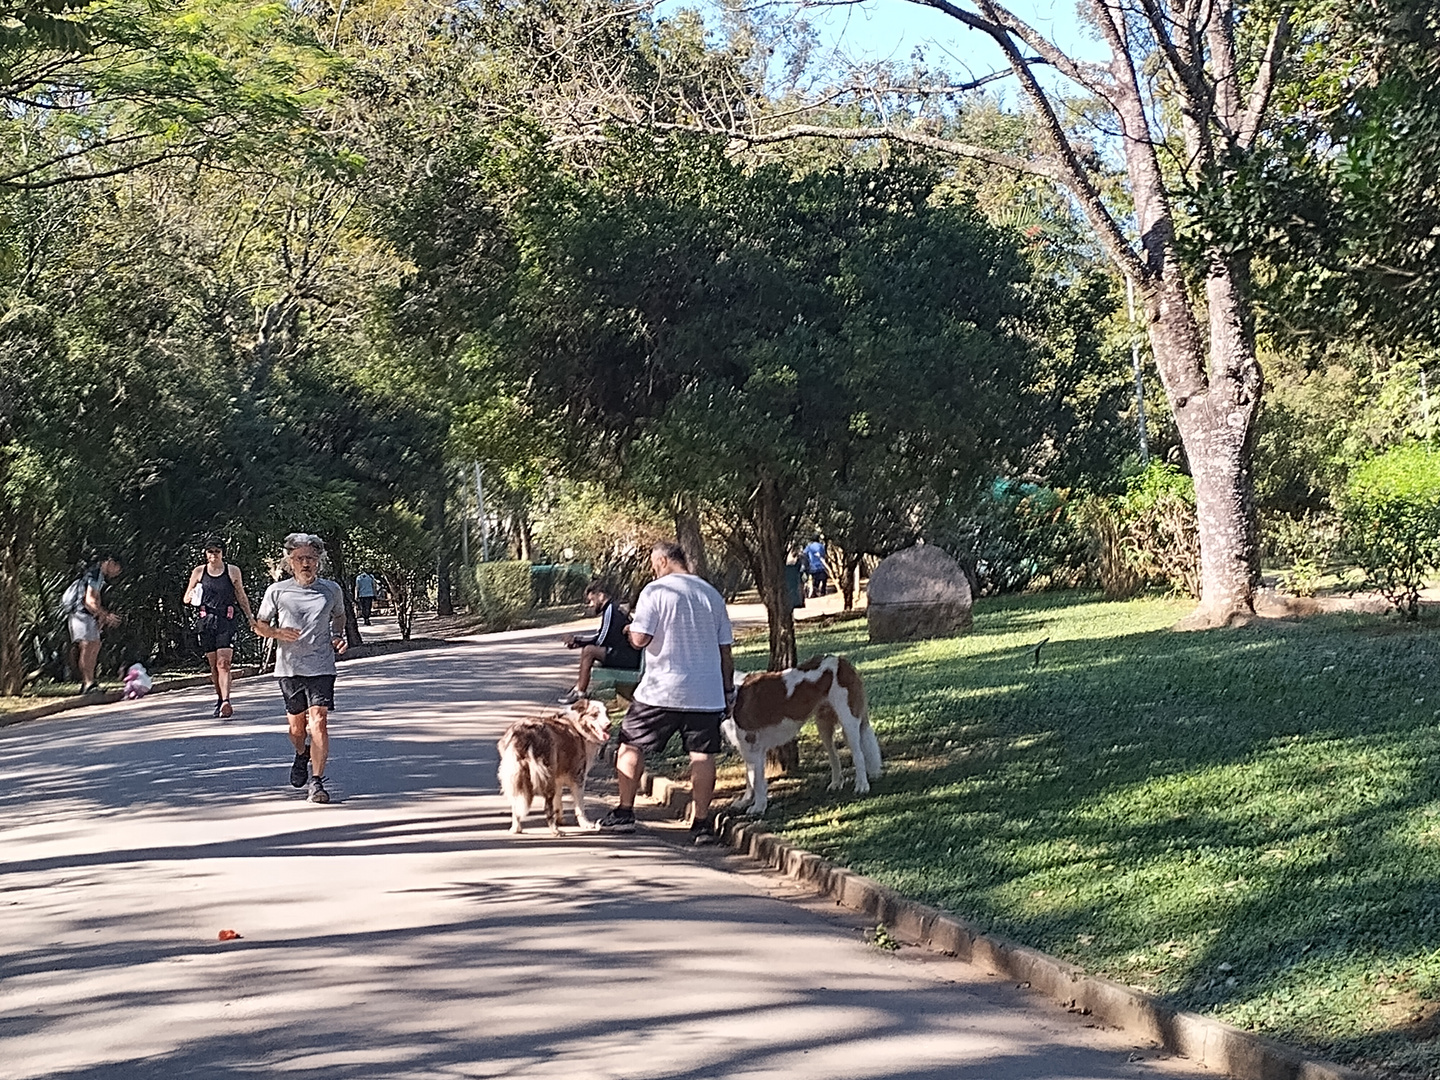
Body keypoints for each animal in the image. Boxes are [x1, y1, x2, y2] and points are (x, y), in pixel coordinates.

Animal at [498, 702, 610, 835]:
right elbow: (580, 806)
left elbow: (559, 801)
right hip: (546, 776)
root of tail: (522, 733)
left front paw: (561, 819)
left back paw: (516, 828)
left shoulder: (558, 779)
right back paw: (555, 831)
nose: (609, 724)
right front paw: (585, 824)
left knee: (516, 805)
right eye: (595, 714)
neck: (577, 726)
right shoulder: (578, 777)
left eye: (606, 713)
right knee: (547, 808)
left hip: (516, 777)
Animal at [717, 656, 875, 817]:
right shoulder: (747, 749)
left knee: (858, 755)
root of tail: (841, 660)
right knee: (834, 755)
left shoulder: (752, 747)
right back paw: (836, 783)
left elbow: (756, 781)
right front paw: (746, 801)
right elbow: (749, 778)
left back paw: (862, 785)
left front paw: (758, 807)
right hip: (824, 725)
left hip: (849, 721)